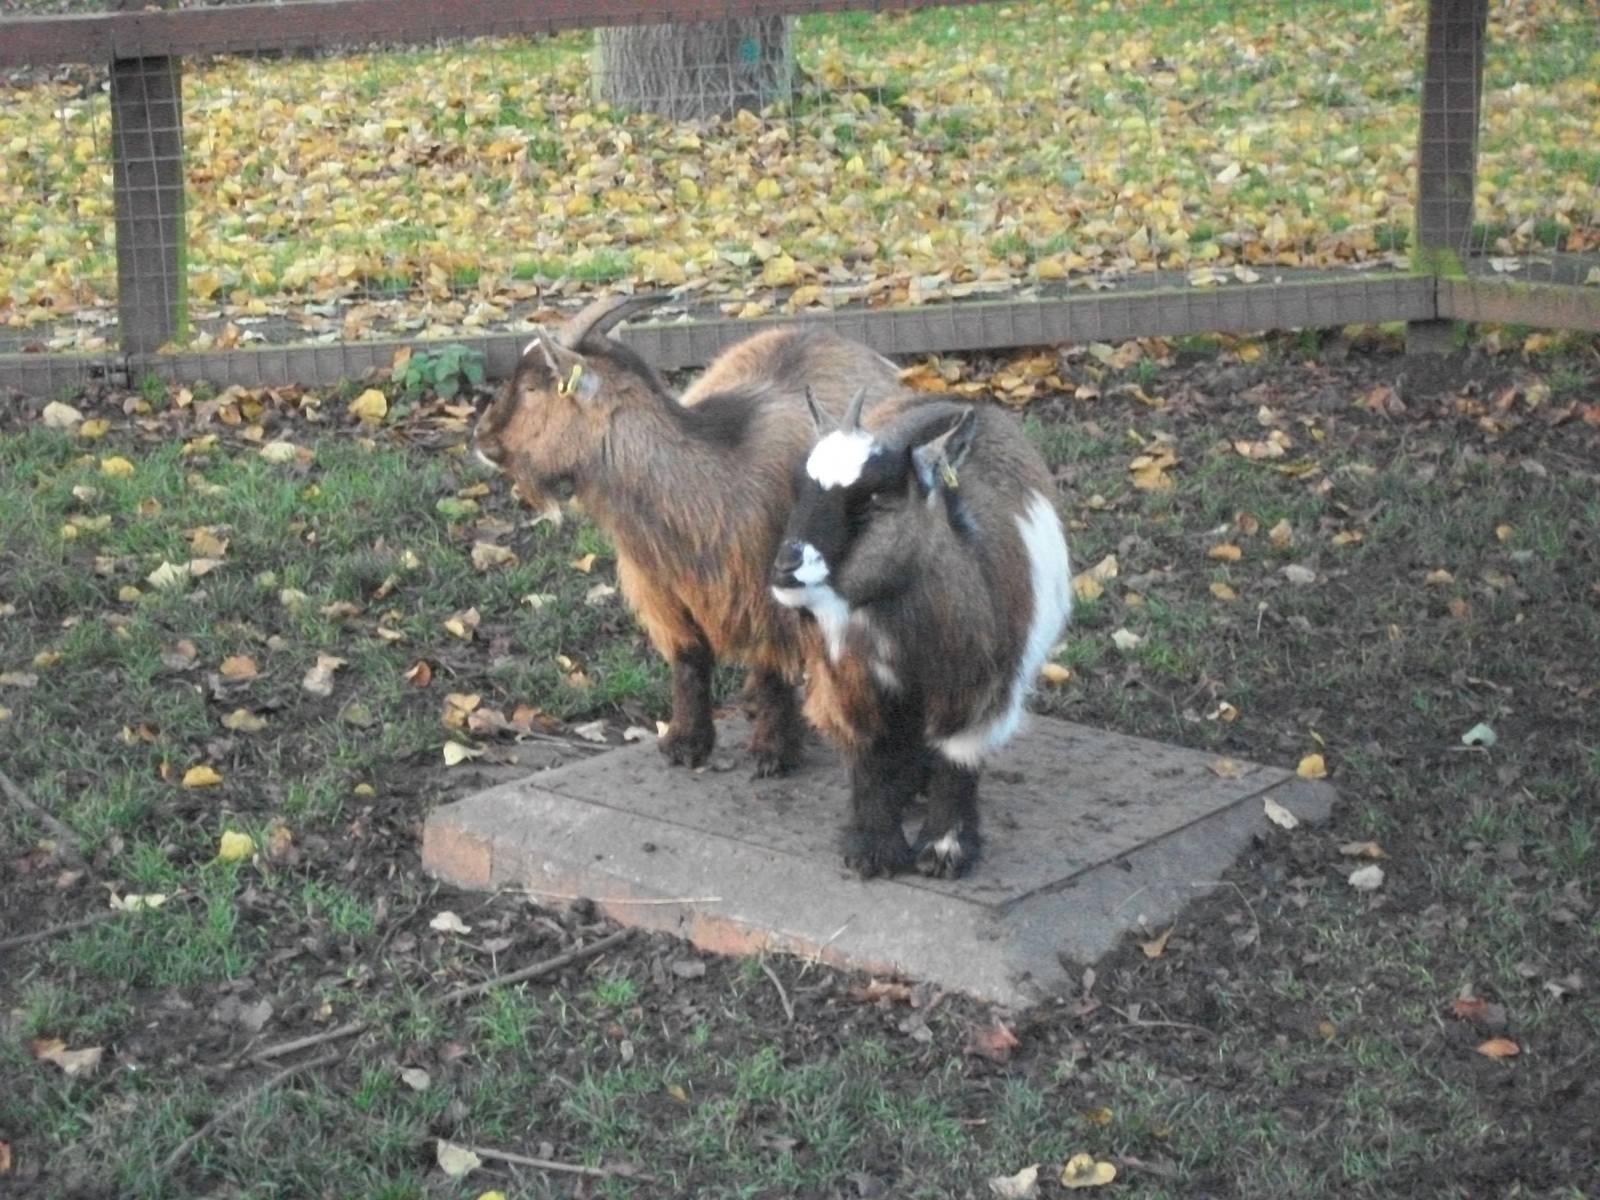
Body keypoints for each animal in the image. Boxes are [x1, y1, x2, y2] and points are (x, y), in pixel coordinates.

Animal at [472, 295, 901, 776]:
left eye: (531, 389)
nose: (481, 436)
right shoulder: (664, 591)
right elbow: (690, 661)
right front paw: (685, 743)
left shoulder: (770, 593)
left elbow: (773, 667)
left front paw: (773, 751)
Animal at [770, 389, 1072, 878]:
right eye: (801, 488)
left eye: (875, 496)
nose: (786, 567)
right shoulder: (845, 678)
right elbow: (869, 749)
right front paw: (874, 847)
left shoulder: (977, 685)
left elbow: (957, 753)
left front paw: (945, 848)